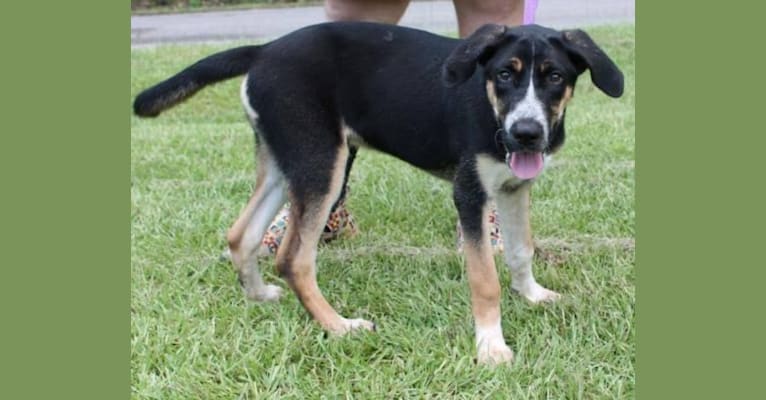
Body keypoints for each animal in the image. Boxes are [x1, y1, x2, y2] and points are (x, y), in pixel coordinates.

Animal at [134, 21, 624, 366]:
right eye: (505, 74)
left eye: (555, 76)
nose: (526, 133)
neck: (490, 108)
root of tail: (265, 48)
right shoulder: (469, 194)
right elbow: (484, 278)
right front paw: (491, 347)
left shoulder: (513, 186)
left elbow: (521, 249)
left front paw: (533, 294)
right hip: (322, 162)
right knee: (293, 258)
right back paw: (339, 327)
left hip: (285, 161)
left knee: (241, 234)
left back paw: (258, 296)